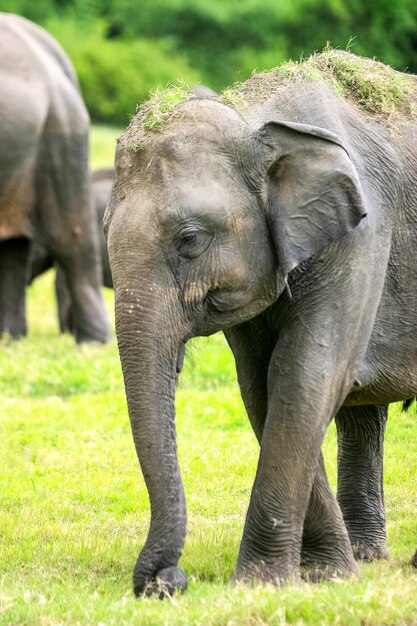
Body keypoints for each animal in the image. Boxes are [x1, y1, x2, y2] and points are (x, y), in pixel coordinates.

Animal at [103, 50, 416, 596]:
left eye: (190, 239)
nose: (168, 581)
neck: (254, 119)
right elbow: (261, 385)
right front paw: (327, 575)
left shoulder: (362, 233)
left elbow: (305, 373)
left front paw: (262, 583)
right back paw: (366, 557)